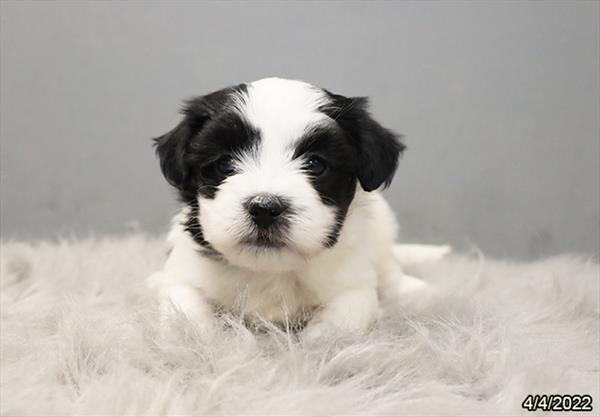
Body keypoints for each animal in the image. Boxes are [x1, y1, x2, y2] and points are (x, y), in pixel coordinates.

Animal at [148, 77, 438, 338]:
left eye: (315, 164)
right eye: (225, 164)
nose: (265, 208)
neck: (270, 272)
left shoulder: (354, 286)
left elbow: (340, 323)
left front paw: (313, 346)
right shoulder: (183, 275)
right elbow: (188, 316)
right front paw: (213, 342)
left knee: (388, 265)